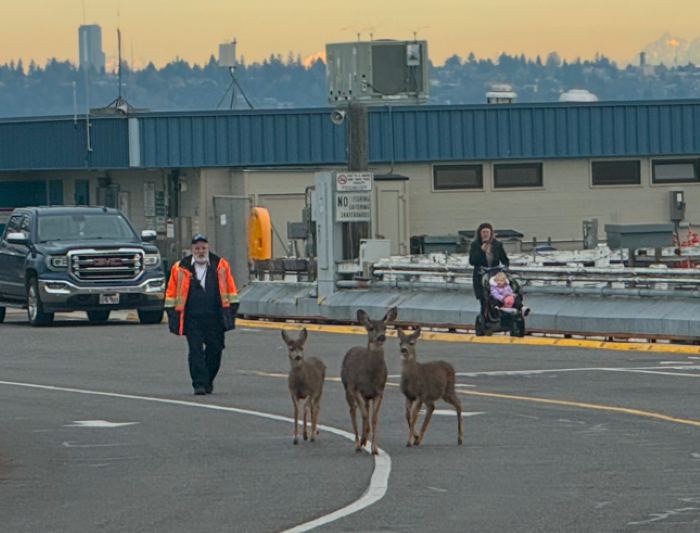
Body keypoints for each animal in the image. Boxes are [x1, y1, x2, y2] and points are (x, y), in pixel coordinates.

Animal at [340, 308, 396, 454]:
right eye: (371, 328)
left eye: (385, 327)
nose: (381, 337)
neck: (370, 376)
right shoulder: (356, 389)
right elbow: (364, 415)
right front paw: (363, 440)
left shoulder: (379, 392)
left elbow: (374, 418)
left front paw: (374, 448)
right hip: (347, 388)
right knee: (353, 411)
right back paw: (357, 444)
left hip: (366, 396)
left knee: (364, 410)